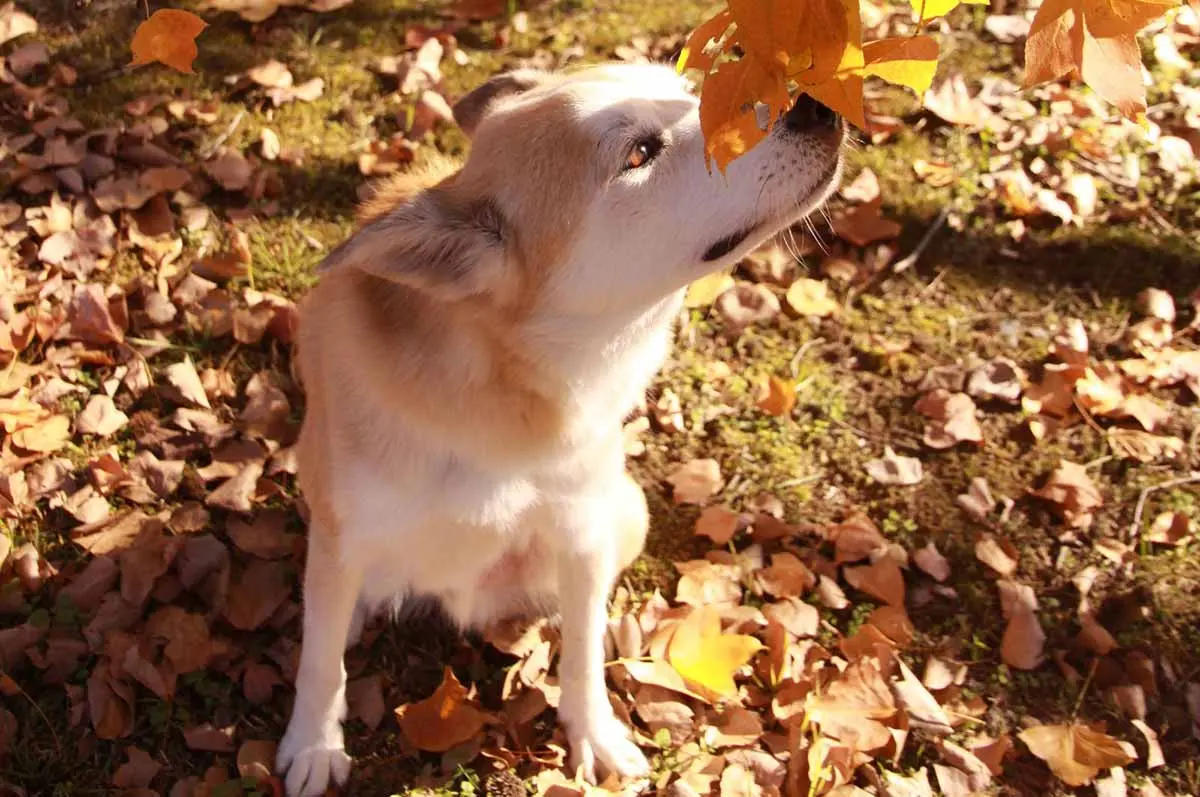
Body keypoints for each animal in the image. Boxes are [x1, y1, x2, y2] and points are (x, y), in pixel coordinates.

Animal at [279, 63, 844, 797]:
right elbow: (321, 662)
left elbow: (580, 656)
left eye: (687, 90)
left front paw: (593, 731)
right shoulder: (344, 533)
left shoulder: (580, 528)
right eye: (639, 153)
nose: (819, 108)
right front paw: (314, 743)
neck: (497, 392)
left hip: (624, 512)